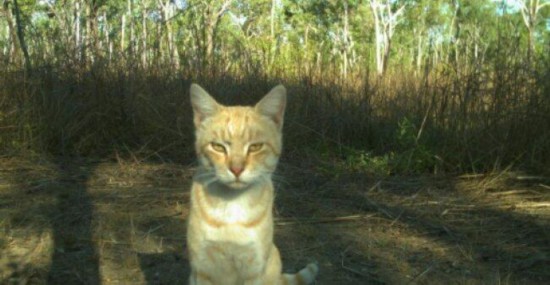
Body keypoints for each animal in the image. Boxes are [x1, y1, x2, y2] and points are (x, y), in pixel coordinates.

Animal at [189, 83, 322, 282]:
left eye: (255, 147)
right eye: (218, 147)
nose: (236, 169)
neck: (233, 205)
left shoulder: (254, 269)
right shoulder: (203, 270)